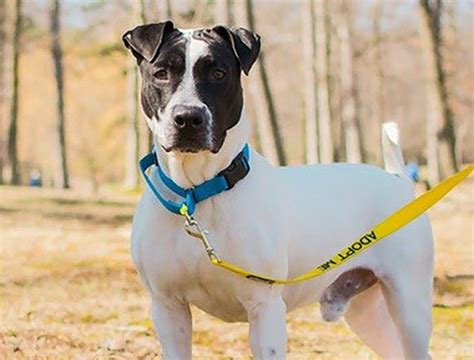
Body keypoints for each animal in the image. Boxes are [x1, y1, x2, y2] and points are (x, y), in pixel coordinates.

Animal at [124, 21, 436, 358]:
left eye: (218, 73)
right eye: (161, 73)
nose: (188, 117)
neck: (198, 192)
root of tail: (397, 180)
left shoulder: (265, 308)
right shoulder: (168, 307)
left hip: (409, 303)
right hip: (367, 312)